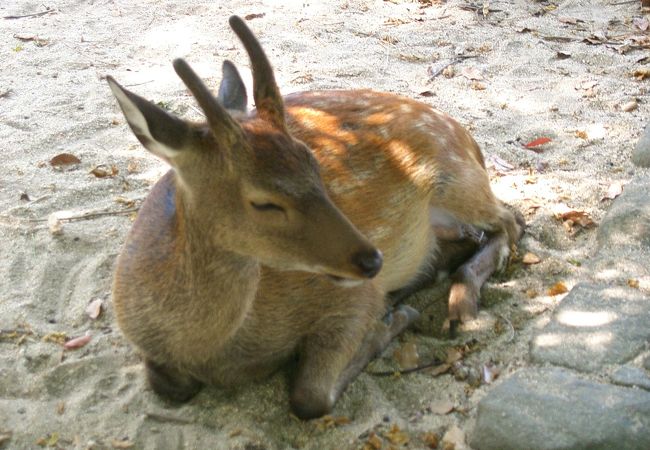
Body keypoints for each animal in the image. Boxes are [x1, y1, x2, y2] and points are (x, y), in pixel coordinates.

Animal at [107, 15, 520, 420]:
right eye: (264, 201)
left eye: (314, 165)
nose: (372, 261)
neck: (215, 352)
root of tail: (468, 139)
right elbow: (169, 386)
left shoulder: (351, 300)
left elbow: (310, 396)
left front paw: (393, 320)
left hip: (456, 180)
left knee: (511, 219)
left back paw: (460, 307)